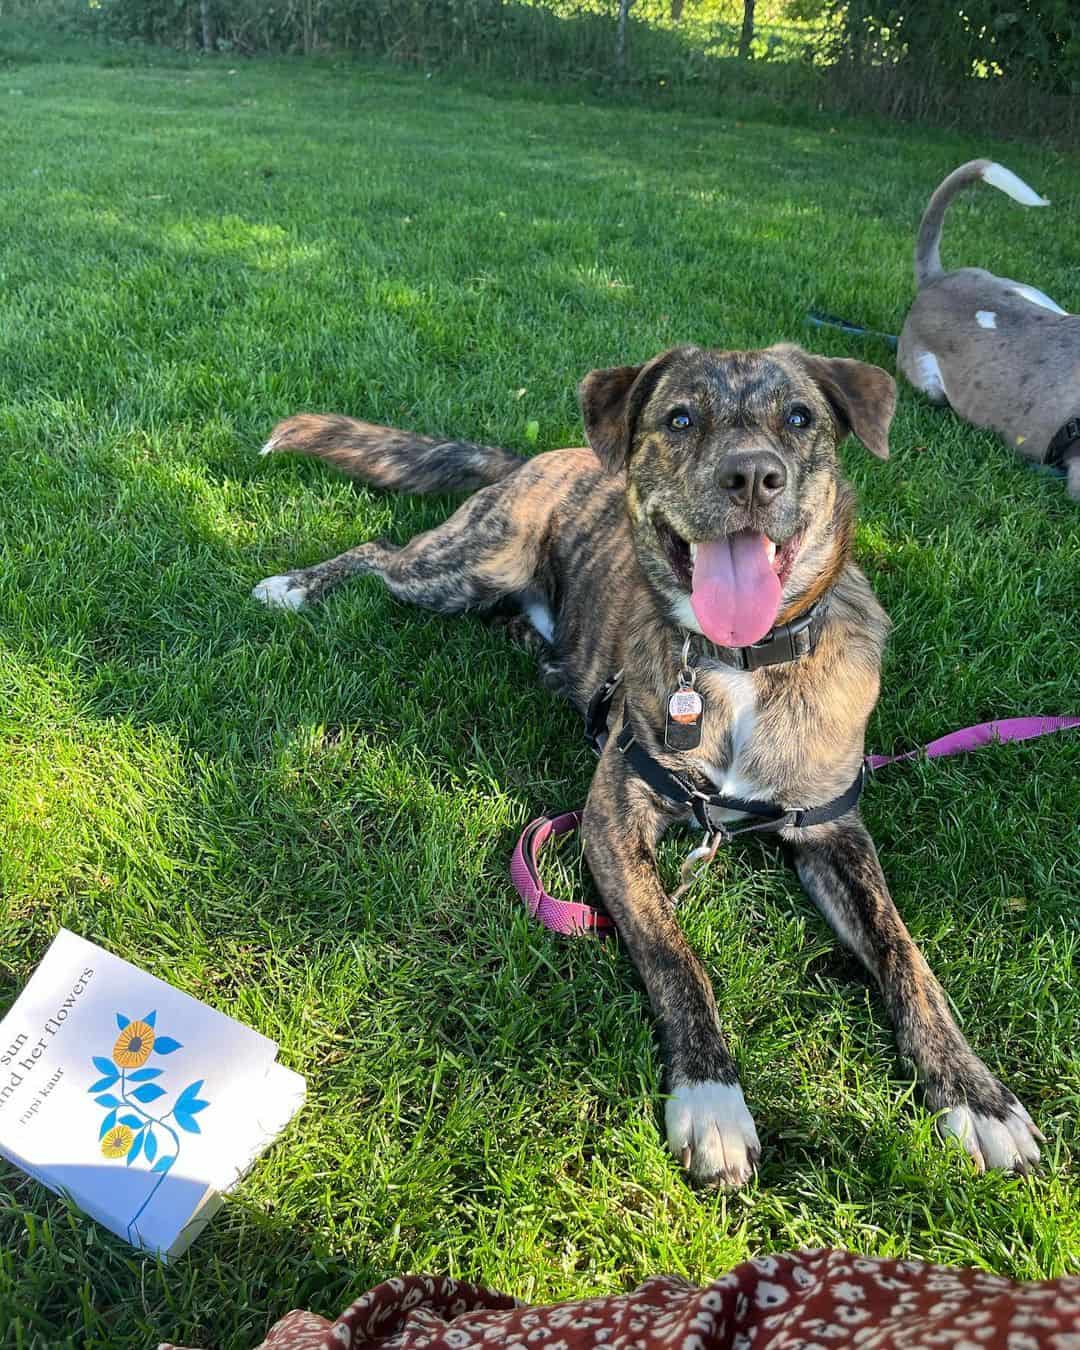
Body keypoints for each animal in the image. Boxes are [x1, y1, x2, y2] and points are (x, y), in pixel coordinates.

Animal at [253, 342, 1047, 1188]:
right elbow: (675, 953)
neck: (738, 664)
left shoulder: (832, 830)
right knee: (380, 555)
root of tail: (543, 457)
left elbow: (906, 956)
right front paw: (712, 1099)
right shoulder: (613, 818)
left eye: (800, 418)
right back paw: (293, 585)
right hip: (468, 566)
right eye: (680, 419)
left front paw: (976, 1096)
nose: (752, 477)